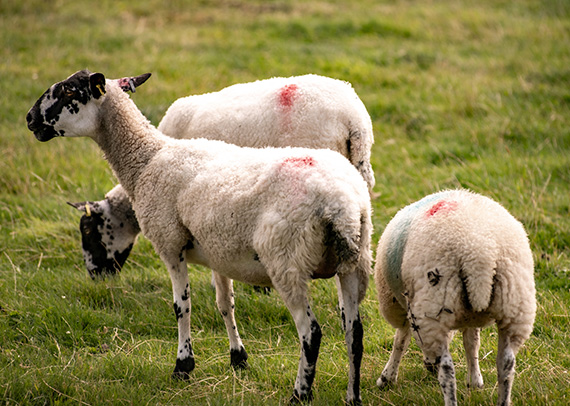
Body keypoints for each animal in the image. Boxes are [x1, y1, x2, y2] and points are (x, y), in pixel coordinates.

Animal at [372, 190, 532, 406]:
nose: (429, 366)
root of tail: (480, 256)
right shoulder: (469, 317)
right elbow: (472, 342)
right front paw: (475, 381)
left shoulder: (407, 308)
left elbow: (401, 340)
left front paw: (387, 378)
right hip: (515, 304)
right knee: (506, 363)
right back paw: (503, 399)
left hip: (434, 305)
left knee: (447, 369)